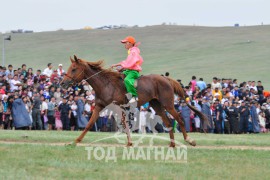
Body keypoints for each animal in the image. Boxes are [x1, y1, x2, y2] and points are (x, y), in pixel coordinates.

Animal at [61, 55, 209, 147]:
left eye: (74, 69)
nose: (63, 83)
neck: (106, 84)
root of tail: (166, 79)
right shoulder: (99, 106)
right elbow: (89, 124)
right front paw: (75, 141)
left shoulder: (119, 107)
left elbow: (125, 124)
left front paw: (129, 142)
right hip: (157, 105)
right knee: (167, 122)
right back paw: (172, 144)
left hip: (168, 104)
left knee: (179, 119)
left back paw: (189, 140)